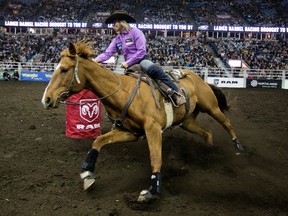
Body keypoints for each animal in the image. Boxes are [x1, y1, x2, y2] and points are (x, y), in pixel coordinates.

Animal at [40, 41, 243, 202]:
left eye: (64, 69)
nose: (47, 99)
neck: (124, 93)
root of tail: (196, 76)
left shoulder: (153, 129)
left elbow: (155, 158)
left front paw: (152, 191)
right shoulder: (130, 132)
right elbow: (98, 141)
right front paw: (87, 173)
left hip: (211, 107)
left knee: (227, 123)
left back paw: (238, 146)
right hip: (188, 122)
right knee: (207, 132)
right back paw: (208, 152)